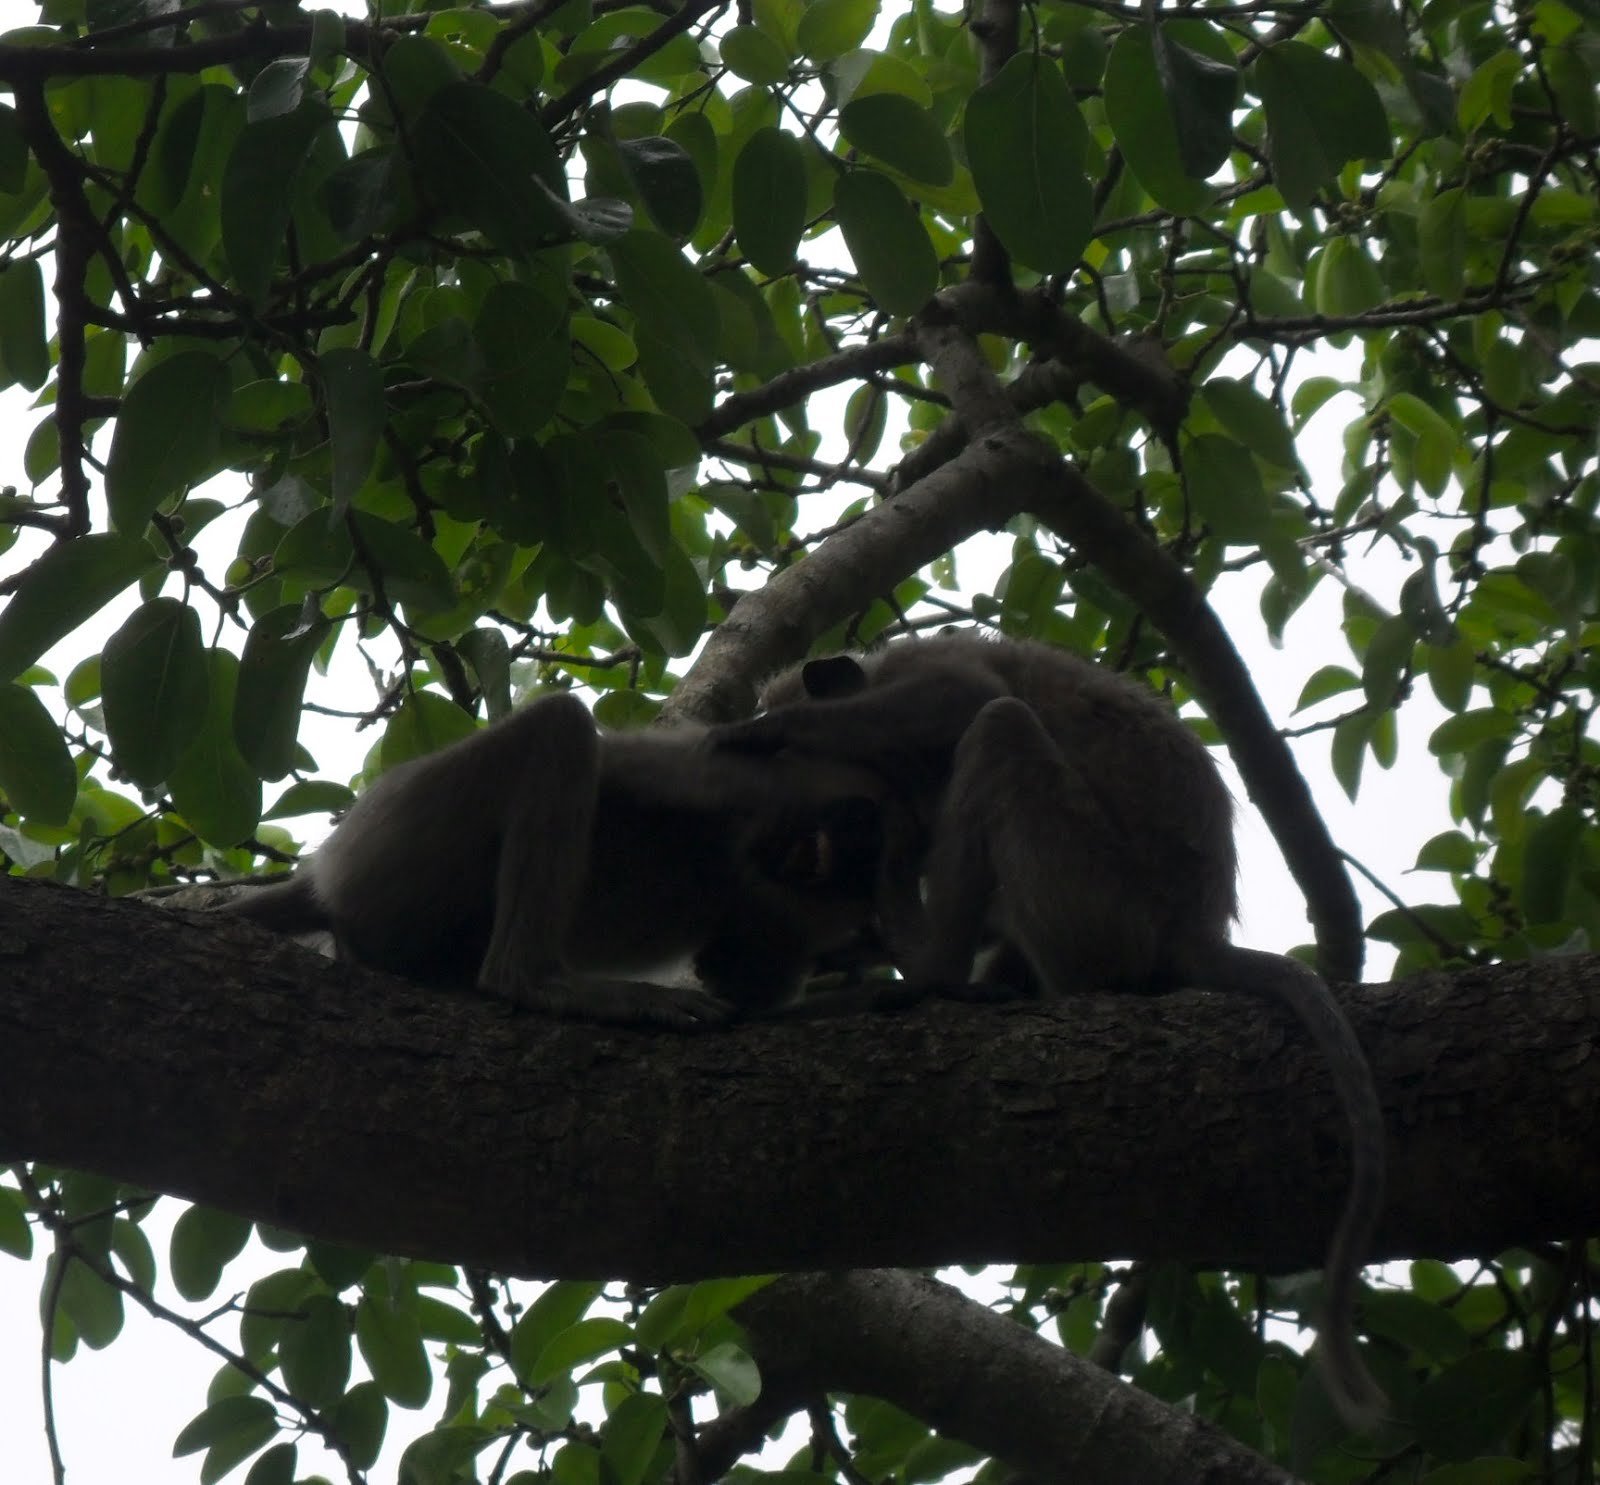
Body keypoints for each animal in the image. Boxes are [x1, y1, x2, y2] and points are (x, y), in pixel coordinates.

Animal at [712, 632, 1388, 1430]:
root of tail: (1194, 931)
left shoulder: (918, 685)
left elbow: (964, 697)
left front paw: (764, 736)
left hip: (1096, 899)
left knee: (1000, 728)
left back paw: (931, 965)